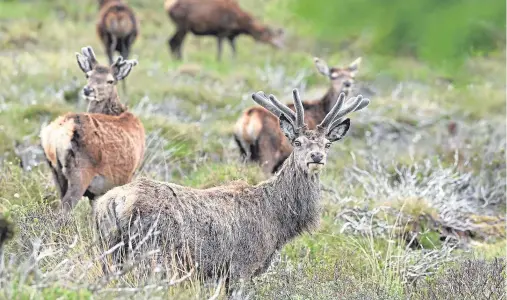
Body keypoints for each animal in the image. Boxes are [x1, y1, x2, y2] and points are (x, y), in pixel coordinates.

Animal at [40, 46, 145, 211]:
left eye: (110, 80)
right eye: (88, 75)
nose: (88, 90)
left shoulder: (96, 193)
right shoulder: (129, 175)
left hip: (56, 172)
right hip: (80, 173)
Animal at [94, 88, 370, 294]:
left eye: (327, 144)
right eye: (298, 142)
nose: (316, 156)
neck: (278, 224)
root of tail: (113, 202)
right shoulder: (241, 265)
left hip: (108, 251)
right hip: (152, 253)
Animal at [234, 56, 362, 173]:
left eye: (352, 76)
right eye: (333, 76)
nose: (347, 84)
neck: (322, 110)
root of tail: (247, 122)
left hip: (243, 153)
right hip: (267, 152)